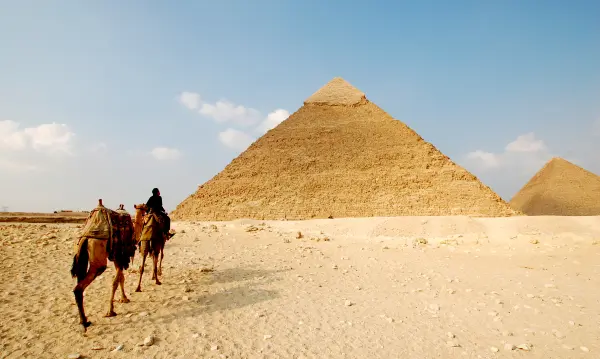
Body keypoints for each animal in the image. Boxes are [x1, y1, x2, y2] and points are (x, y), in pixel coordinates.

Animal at [70, 200, 136, 332]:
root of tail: (86, 236)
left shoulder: (117, 257)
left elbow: (120, 278)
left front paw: (124, 299)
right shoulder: (121, 256)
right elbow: (116, 281)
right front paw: (111, 311)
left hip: (80, 251)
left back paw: (83, 320)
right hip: (97, 255)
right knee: (79, 288)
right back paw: (85, 322)